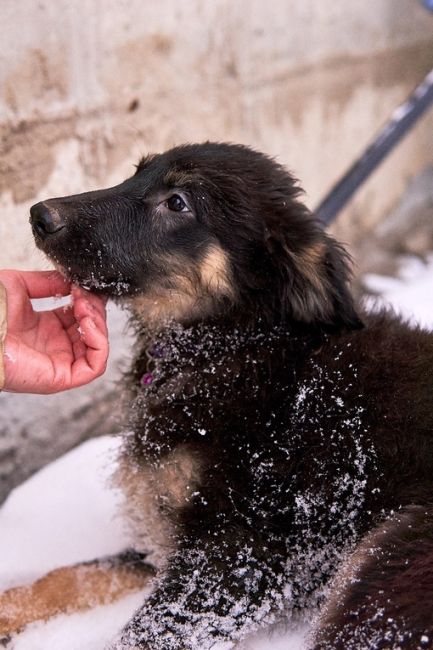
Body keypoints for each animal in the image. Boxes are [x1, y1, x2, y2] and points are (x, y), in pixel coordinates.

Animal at [29, 143, 432, 648]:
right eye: (137, 173)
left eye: (178, 202)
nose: (39, 215)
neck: (227, 345)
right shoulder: (165, 534)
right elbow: (62, 578)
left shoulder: (244, 553)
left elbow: (142, 635)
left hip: (386, 565)